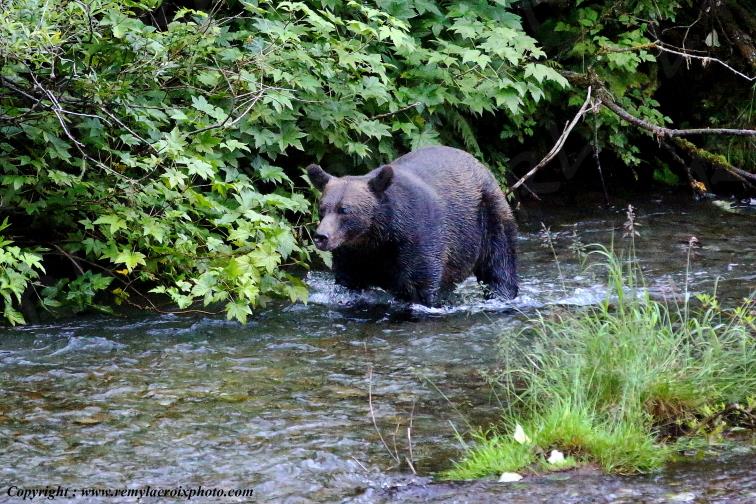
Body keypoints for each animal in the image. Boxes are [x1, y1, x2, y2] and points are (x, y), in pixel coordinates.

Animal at [307, 145, 518, 306]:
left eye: (345, 210)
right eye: (322, 208)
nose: (321, 237)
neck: (379, 235)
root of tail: (479, 164)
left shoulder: (417, 240)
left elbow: (420, 285)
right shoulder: (353, 254)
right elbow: (348, 283)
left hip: (488, 215)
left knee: (499, 263)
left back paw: (502, 294)